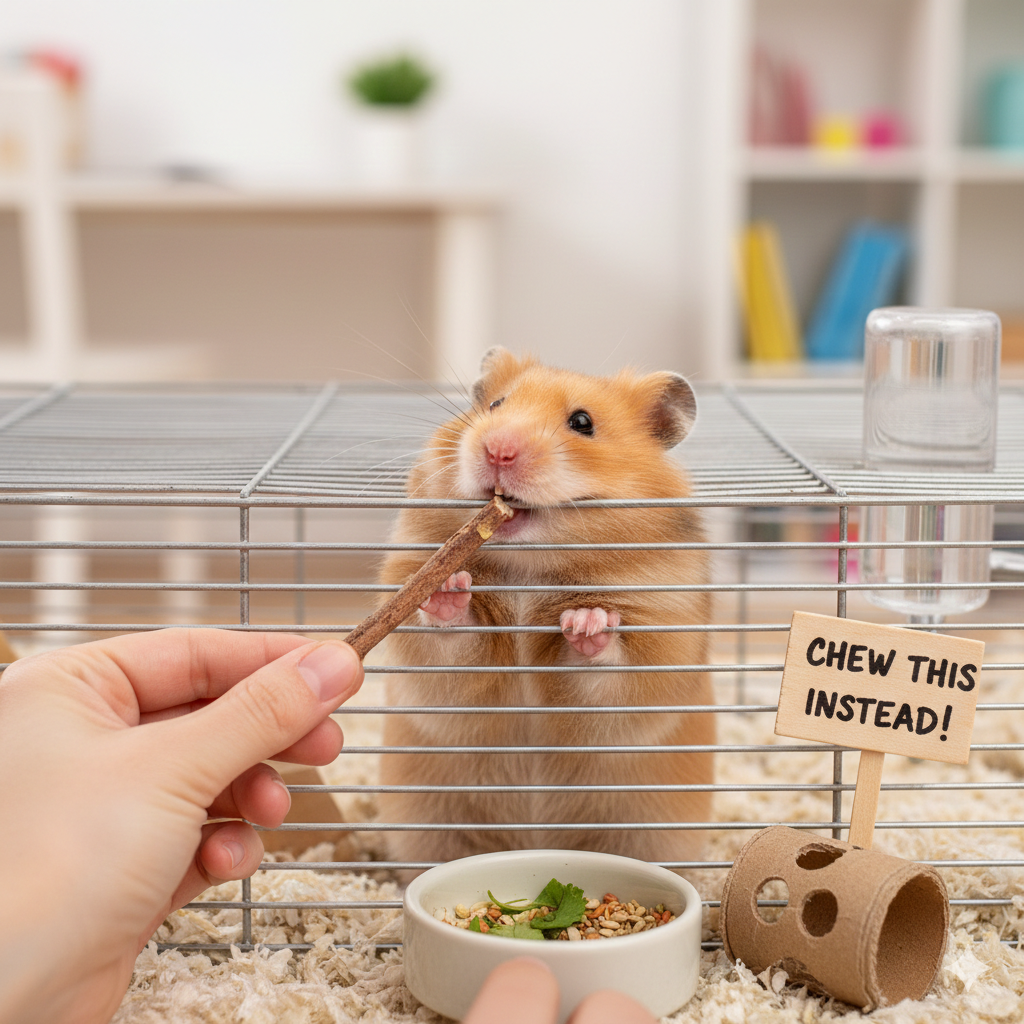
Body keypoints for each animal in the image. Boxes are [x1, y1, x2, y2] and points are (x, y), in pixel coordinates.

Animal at [377, 347, 713, 866]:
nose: (498, 450)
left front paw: (586, 620)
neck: (528, 567)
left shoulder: (661, 640)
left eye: (582, 422)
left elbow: (610, 667)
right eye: (494, 404)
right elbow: (450, 645)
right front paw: (447, 588)